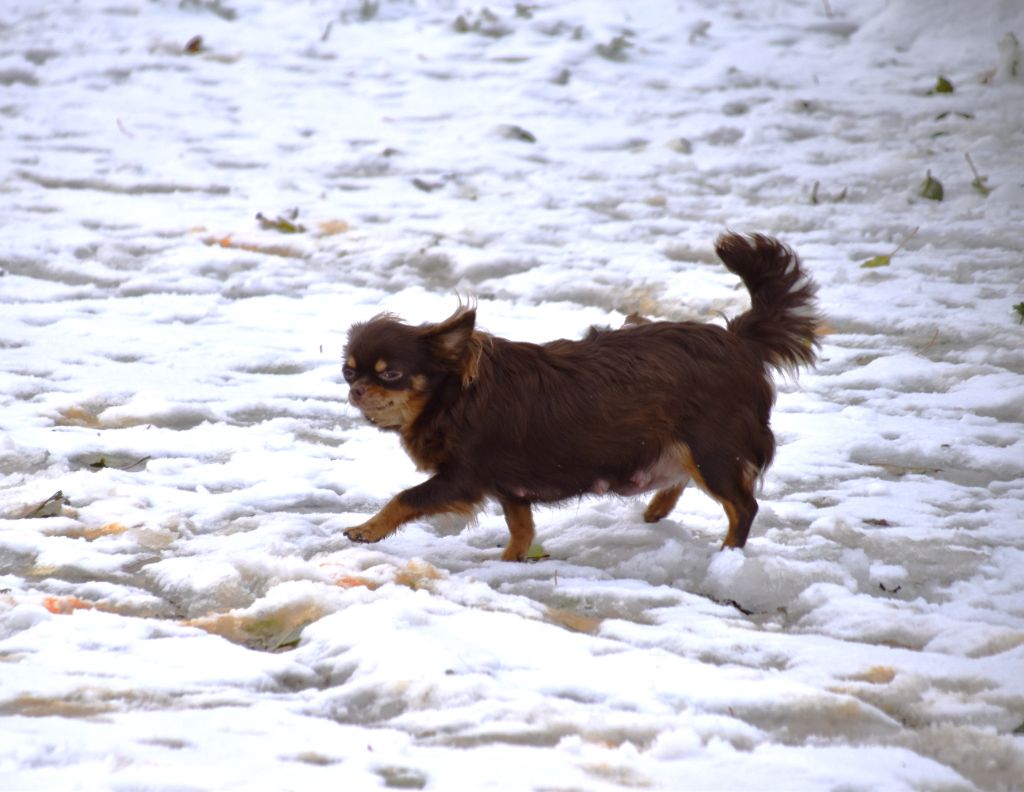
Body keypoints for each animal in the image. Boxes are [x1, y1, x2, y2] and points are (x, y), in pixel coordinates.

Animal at [339, 231, 819, 557]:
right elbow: (522, 528)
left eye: (391, 374)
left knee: (743, 506)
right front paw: (513, 561)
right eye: (347, 372)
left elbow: (405, 497)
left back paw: (728, 554)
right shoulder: (509, 486)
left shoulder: (463, 477)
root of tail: (738, 340)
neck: (454, 396)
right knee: (687, 480)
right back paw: (656, 511)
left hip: (712, 451)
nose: (357, 390)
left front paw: (366, 529)